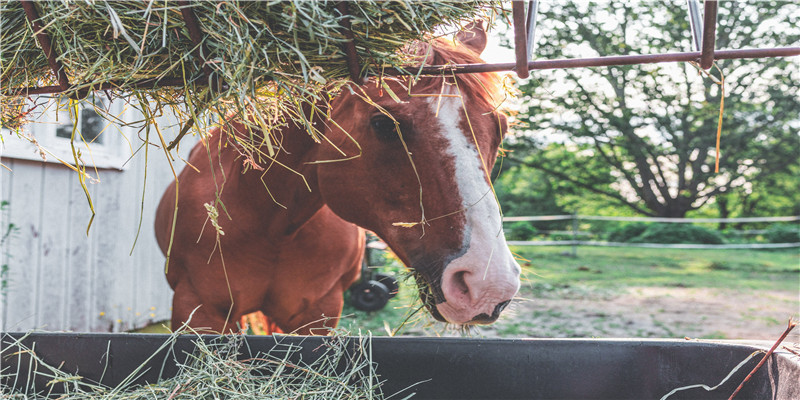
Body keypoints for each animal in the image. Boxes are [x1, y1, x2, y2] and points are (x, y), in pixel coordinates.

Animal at [153, 22, 520, 334]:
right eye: (384, 123)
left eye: (500, 128)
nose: (488, 284)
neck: (271, 225)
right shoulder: (199, 312)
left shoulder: (318, 313)